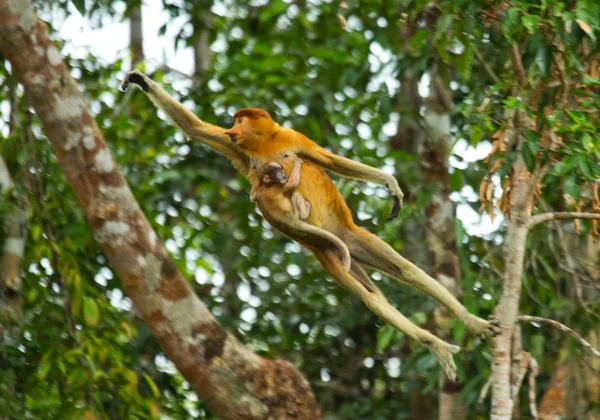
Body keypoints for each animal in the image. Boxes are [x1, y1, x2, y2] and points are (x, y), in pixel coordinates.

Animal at [119, 69, 500, 380]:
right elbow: (195, 128)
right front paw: (141, 81)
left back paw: (472, 324)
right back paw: (438, 344)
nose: (232, 128)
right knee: (369, 297)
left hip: (352, 238)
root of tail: (339, 240)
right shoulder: (238, 149)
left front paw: (390, 184)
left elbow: (327, 159)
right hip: (329, 253)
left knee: (408, 272)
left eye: (240, 120)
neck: (266, 142)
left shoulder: (293, 137)